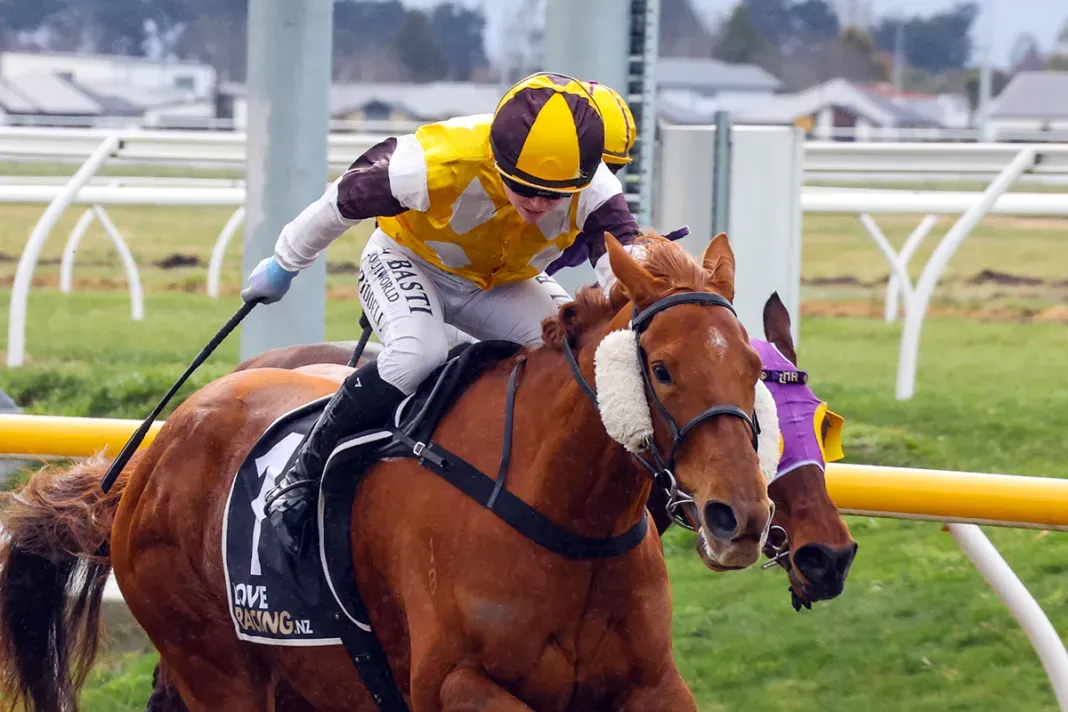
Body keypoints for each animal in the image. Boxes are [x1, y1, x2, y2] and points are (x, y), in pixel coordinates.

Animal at [0, 232, 777, 712]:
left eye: (754, 365)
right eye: (662, 369)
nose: (738, 517)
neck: (563, 519)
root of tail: (146, 464)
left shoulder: (653, 683)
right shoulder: (452, 684)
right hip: (217, 665)